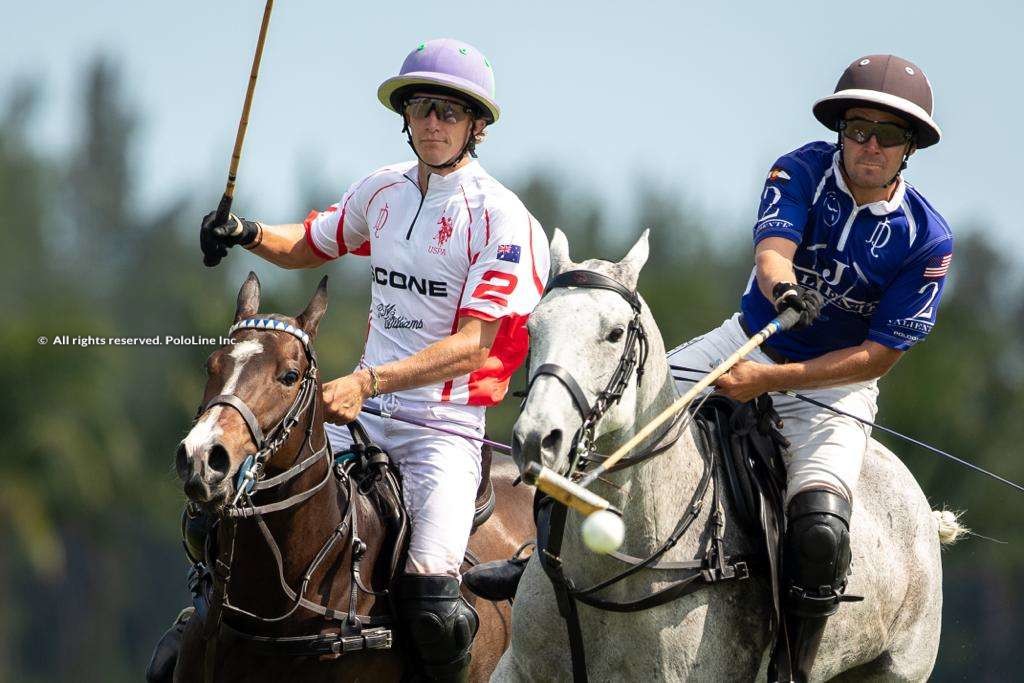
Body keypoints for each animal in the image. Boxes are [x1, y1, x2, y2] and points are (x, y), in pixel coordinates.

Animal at [495, 231, 958, 683]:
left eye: (614, 333)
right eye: (532, 329)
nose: (537, 438)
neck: (608, 576)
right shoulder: (517, 668)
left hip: (898, 668)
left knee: (821, 533)